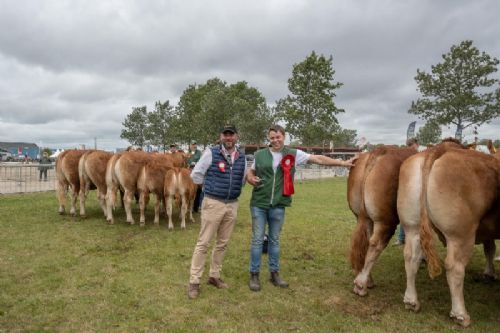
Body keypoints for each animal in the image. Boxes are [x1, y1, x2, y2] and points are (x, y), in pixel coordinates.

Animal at [348, 144, 418, 294]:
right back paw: (361, 285)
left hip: (364, 217)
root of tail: (378, 152)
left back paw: (367, 281)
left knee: (366, 241)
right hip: (386, 221)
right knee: (376, 244)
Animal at [396, 145, 498, 324]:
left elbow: (490, 249)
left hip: (412, 226)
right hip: (460, 235)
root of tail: (438, 150)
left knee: (411, 257)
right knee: (454, 267)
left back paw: (411, 301)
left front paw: (489, 273)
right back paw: (460, 314)